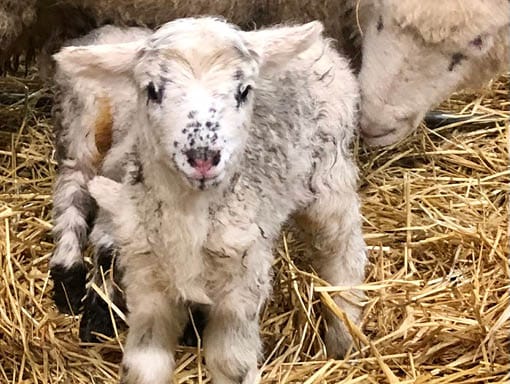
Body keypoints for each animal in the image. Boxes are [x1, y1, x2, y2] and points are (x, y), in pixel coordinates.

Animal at [53, 16, 366, 382]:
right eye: (153, 90)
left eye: (243, 90)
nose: (202, 156)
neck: (190, 215)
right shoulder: (148, 283)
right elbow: (145, 364)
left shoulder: (241, 287)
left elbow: (232, 364)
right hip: (84, 127)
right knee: (73, 183)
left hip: (328, 176)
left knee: (343, 246)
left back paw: (344, 330)